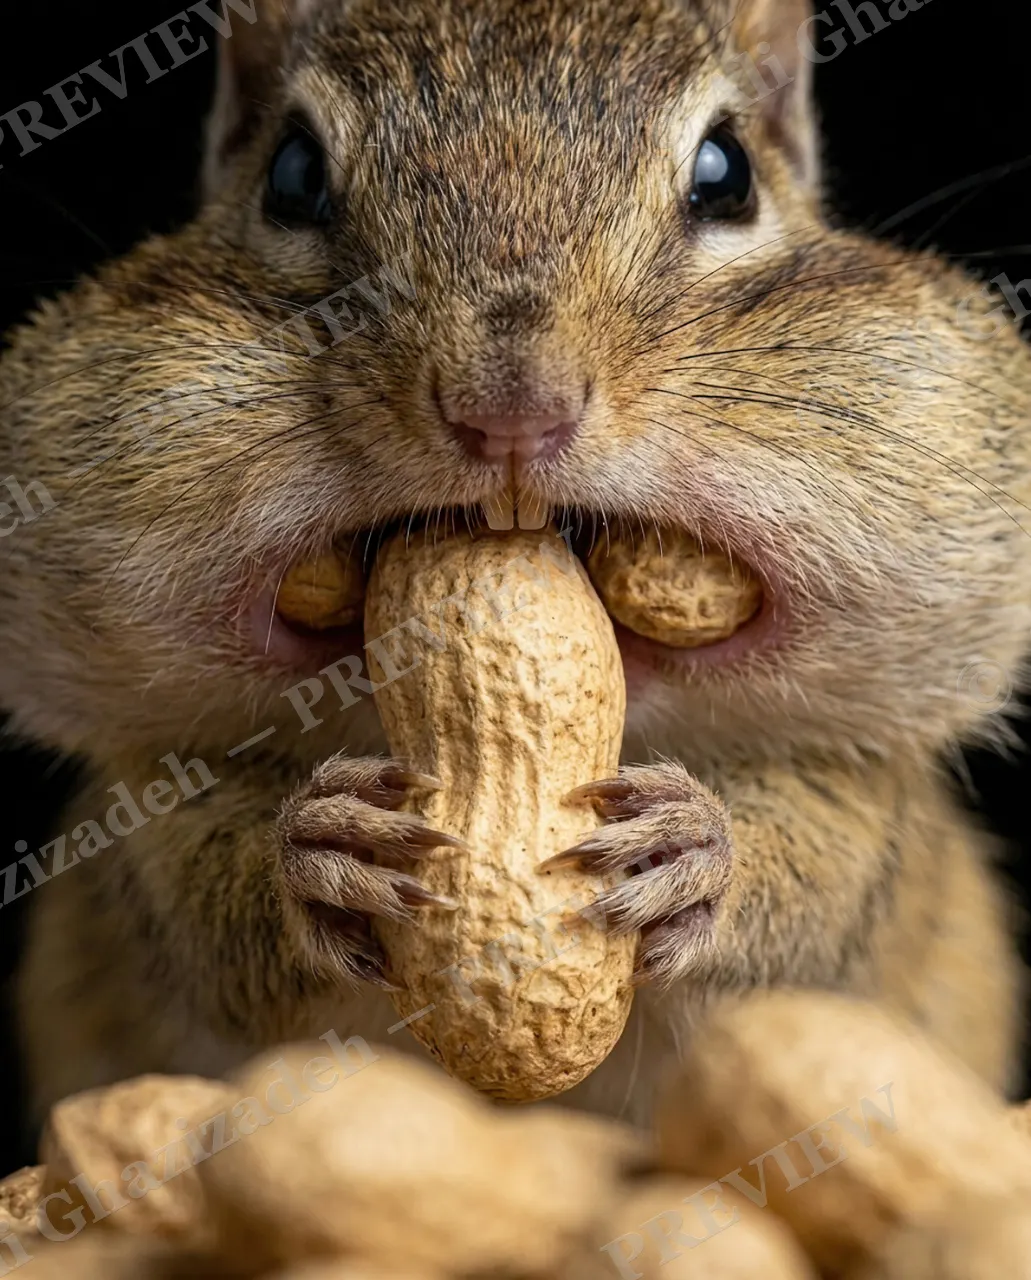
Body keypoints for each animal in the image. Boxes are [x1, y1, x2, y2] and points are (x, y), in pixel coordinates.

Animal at [2, 0, 1030, 1124]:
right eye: (292, 175)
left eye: (725, 175)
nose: (509, 411)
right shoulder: (146, 803)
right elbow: (202, 905)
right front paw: (315, 847)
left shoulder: (861, 799)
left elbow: (811, 889)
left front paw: (696, 849)